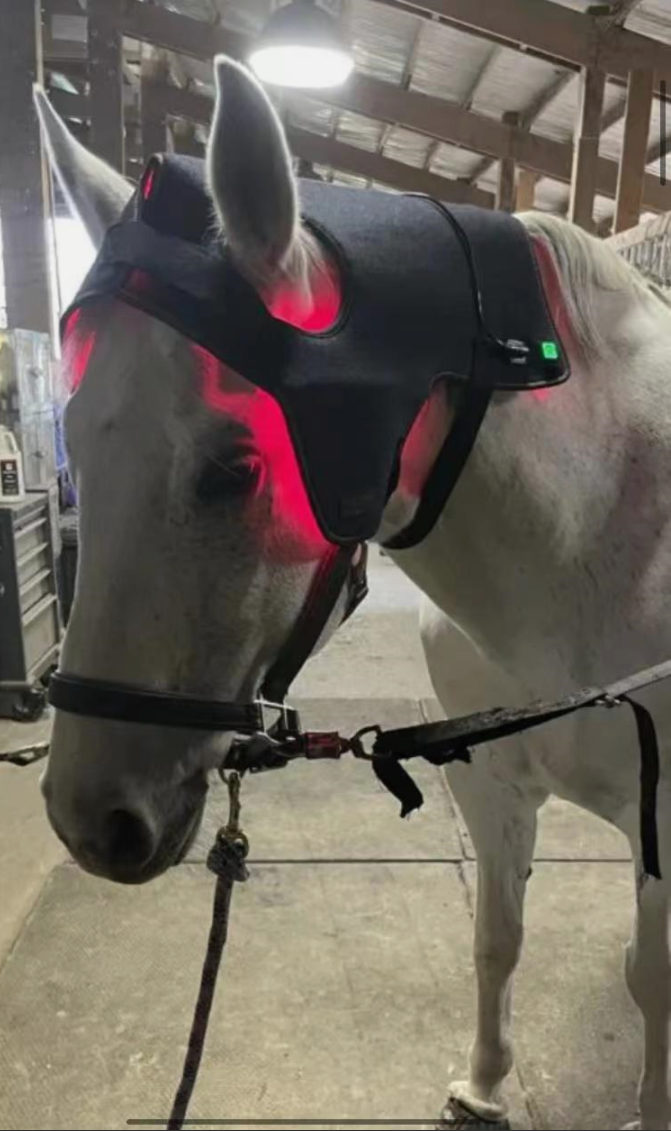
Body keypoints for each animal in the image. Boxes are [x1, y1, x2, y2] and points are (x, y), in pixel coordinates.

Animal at [35, 55, 671, 1131]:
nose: (92, 820)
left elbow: (649, 978)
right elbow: (495, 938)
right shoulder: (490, 783)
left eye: (234, 468)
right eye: (70, 441)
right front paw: (481, 1086)